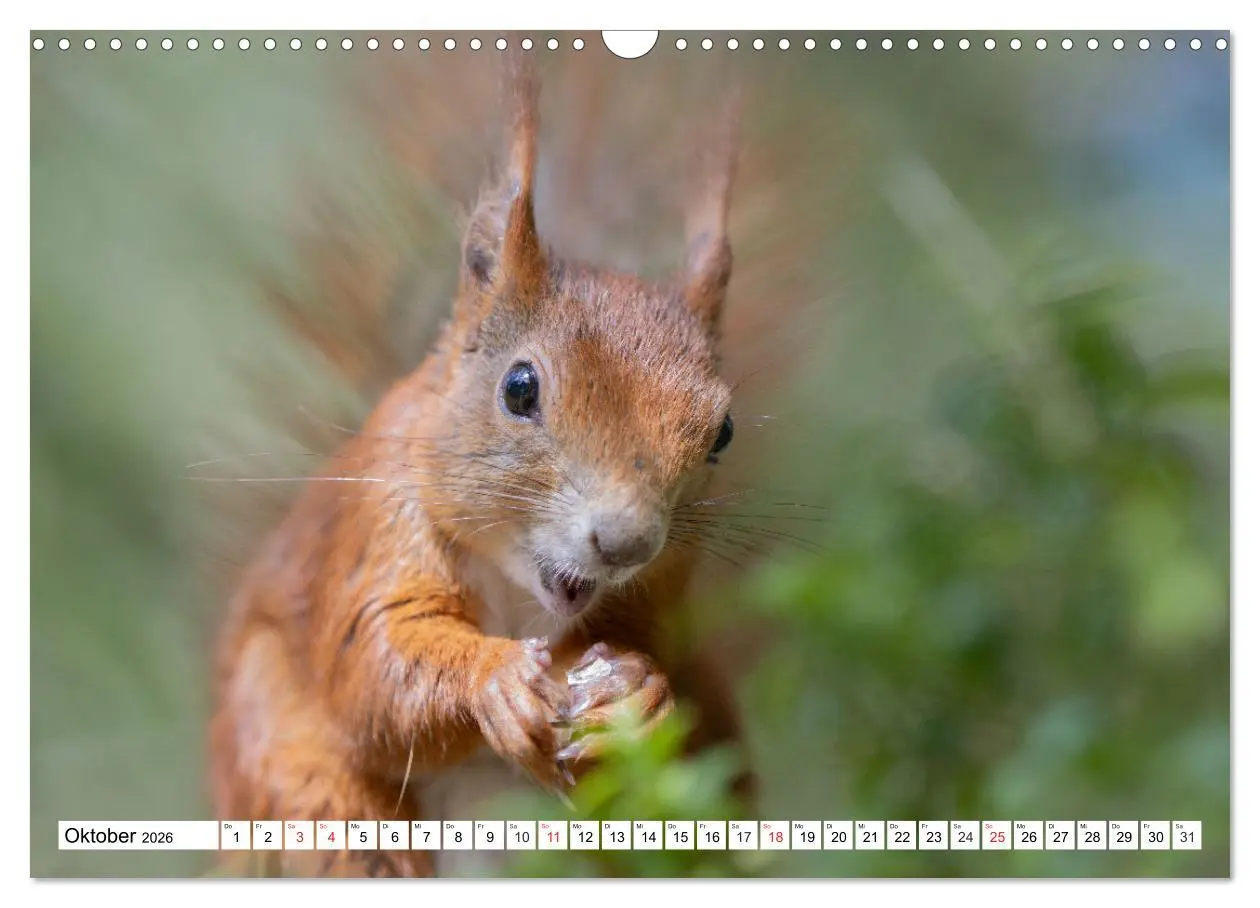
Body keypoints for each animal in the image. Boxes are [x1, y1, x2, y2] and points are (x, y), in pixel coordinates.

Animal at [208, 54, 746, 878]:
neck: (520, 590)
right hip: (299, 781)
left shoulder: (664, 595)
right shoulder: (379, 531)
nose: (625, 543)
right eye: (520, 387)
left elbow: (666, 671)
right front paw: (493, 680)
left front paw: (638, 691)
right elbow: (378, 665)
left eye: (722, 433)